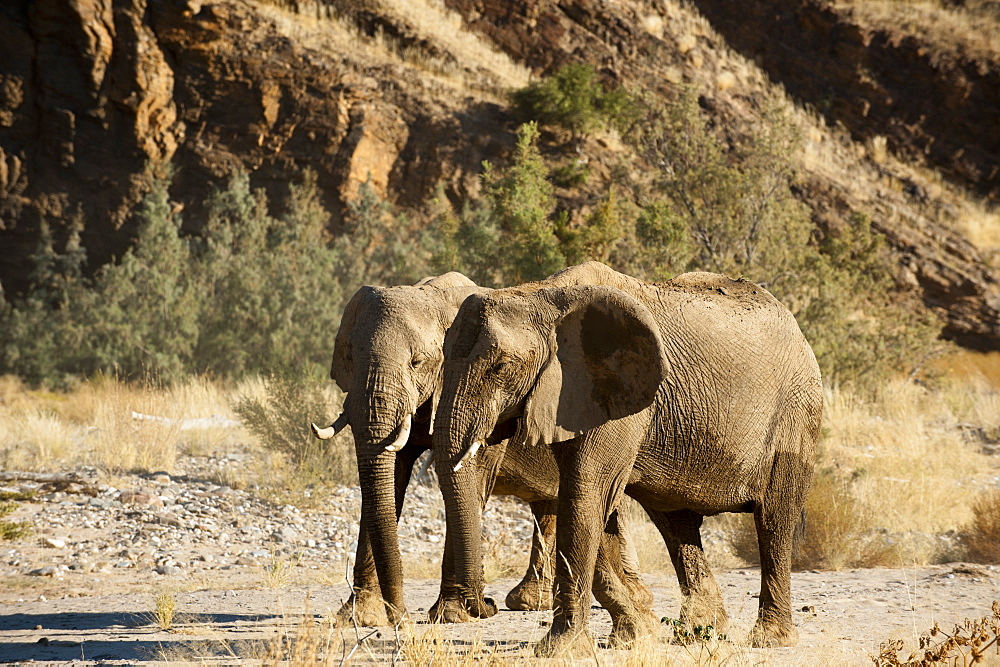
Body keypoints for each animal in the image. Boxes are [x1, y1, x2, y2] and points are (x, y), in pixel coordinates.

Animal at [312, 270, 656, 628]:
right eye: (349, 358)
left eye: (417, 362)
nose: (401, 616)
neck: (432, 295)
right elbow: (388, 483)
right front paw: (360, 617)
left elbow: (471, 478)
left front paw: (451, 615)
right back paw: (532, 602)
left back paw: (634, 598)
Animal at [436, 262, 820, 656]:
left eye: (500, 367)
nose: (486, 606)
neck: (539, 295)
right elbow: (592, 507)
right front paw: (633, 636)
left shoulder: (611, 393)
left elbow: (585, 497)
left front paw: (560, 649)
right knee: (675, 522)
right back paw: (698, 632)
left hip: (795, 412)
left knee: (773, 522)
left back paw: (770, 639)